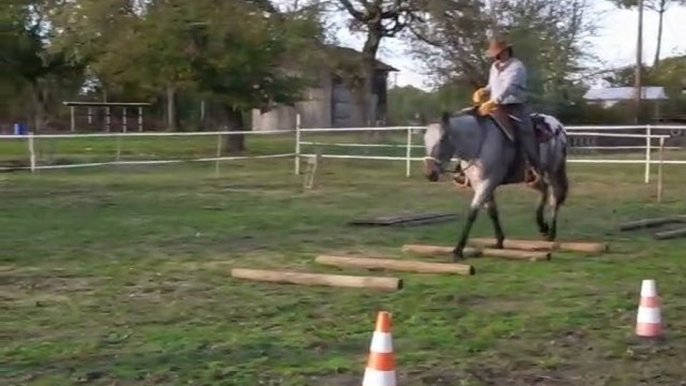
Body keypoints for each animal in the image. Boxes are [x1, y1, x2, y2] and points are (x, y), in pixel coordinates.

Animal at [424, 108, 568, 260]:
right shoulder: (479, 184)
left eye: (442, 139)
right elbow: (492, 211)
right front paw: (499, 241)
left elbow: (472, 213)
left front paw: (458, 250)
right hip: (531, 177)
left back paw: (551, 234)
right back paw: (543, 227)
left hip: (554, 171)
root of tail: (557, 124)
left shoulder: (487, 183)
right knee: (544, 190)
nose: (429, 173)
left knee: (555, 198)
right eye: (425, 140)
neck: (479, 142)